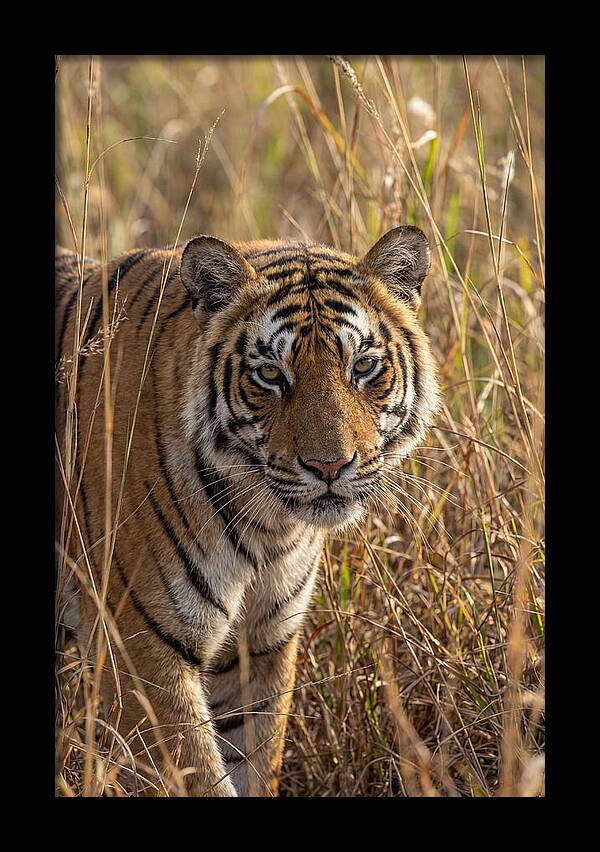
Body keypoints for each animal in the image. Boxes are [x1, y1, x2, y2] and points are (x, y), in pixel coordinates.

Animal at [55, 225, 440, 797]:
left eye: (364, 366)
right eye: (269, 374)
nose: (329, 466)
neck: (267, 528)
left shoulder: (261, 644)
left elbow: (256, 761)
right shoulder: (140, 649)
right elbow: (199, 776)